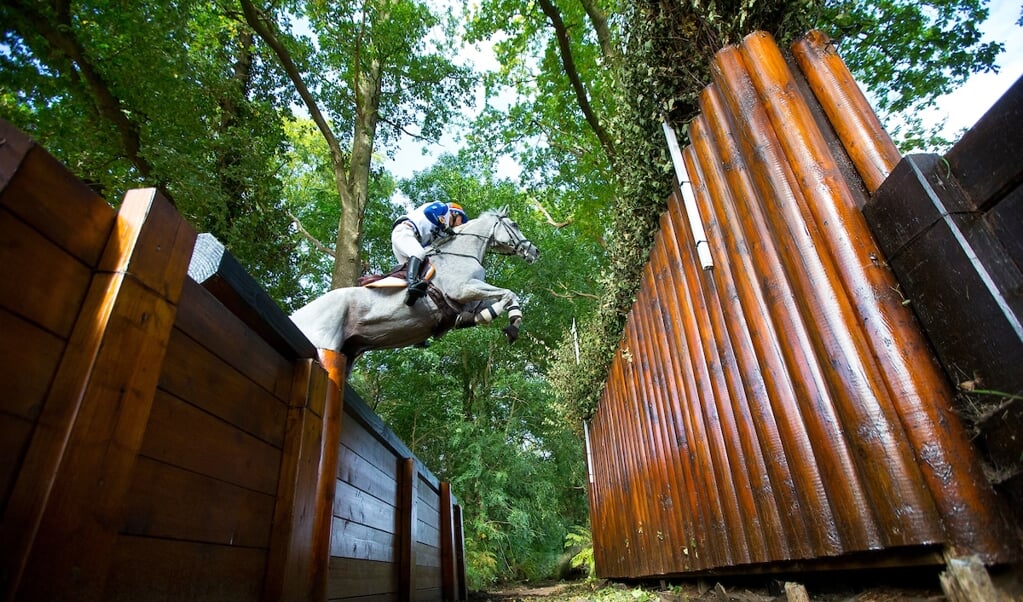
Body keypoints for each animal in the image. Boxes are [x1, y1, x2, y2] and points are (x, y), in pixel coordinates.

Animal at [290, 206, 540, 366]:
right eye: (515, 224)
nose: (535, 251)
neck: (462, 251)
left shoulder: (470, 298)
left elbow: (501, 300)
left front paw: (503, 322)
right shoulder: (462, 288)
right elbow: (508, 293)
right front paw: (510, 325)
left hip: (348, 352)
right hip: (325, 341)